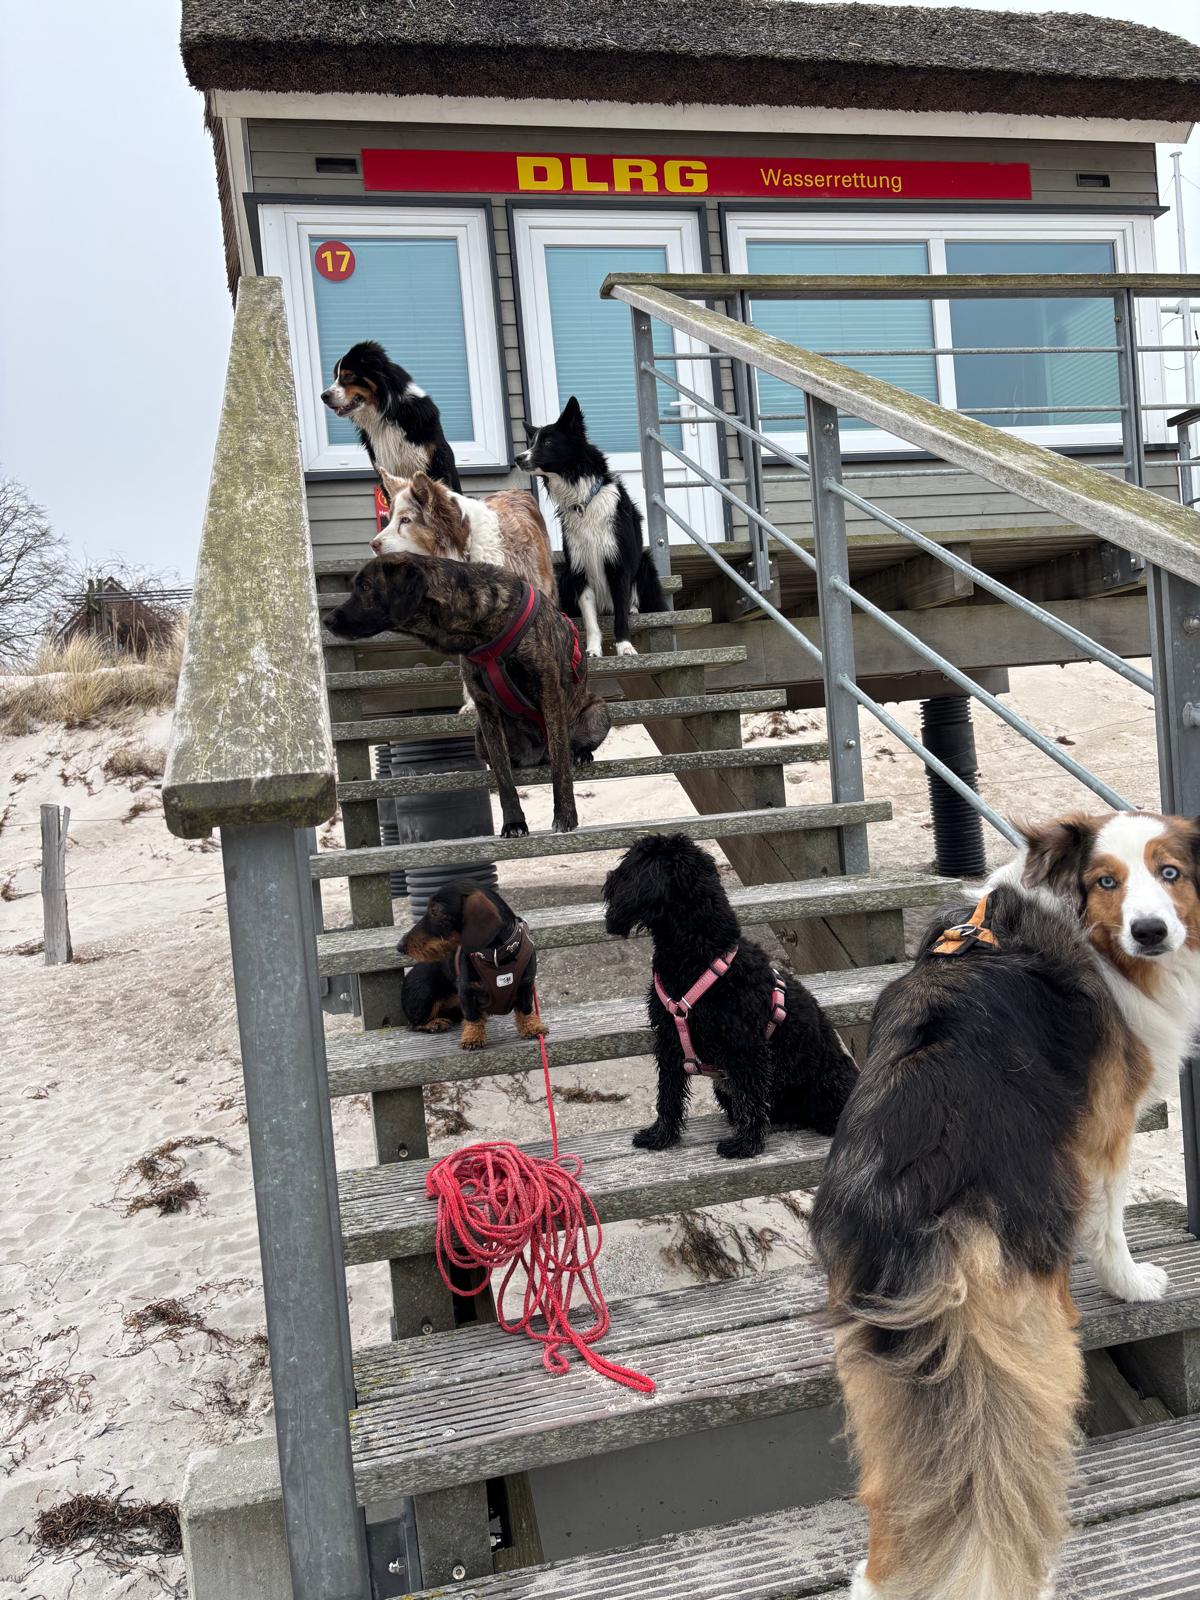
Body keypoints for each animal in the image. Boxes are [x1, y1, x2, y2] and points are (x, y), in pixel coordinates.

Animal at [323, 554, 610, 835]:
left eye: (365, 586)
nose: (326, 621)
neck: (480, 630)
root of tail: (538, 756)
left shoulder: (550, 695)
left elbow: (561, 769)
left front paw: (565, 816)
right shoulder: (486, 711)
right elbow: (504, 778)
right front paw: (514, 823)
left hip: (598, 711)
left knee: (570, 746)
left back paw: (581, 754)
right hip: (480, 734)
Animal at [399, 879, 547, 1052]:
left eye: (435, 910)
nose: (399, 946)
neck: (495, 956)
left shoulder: (526, 984)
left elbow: (525, 1008)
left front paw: (531, 1027)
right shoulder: (466, 989)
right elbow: (472, 1016)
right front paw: (473, 1037)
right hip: (424, 993)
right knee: (413, 1024)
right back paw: (434, 1023)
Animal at [516, 396, 667, 659]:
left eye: (547, 442)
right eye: (531, 442)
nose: (518, 458)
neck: (583, 501)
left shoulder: (618, 565)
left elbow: (621, 614)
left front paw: (624, 646)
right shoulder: (579, 568)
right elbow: (590, 619)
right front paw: (593, 650)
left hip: (645, 565)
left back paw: (635, 608)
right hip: (564, 573)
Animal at [602, 835, 857, 1159]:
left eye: (629, 865)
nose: (608, 880)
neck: (699, 954)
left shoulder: (747, 1049)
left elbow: (751, 1100)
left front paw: (745, 1145)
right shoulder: (669, 1040)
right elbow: (668, 1094)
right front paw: (661, 1136)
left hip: (826, 1086)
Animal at [810, 809, 1200, 1600]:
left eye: (1169, 871)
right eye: (1106, 881)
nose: (1151, 932)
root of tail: (911, 1183)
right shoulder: (1103, 1128)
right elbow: (1110, 1221)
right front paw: (1132, 1283)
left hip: (882, 1366)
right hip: (1012, 1336)